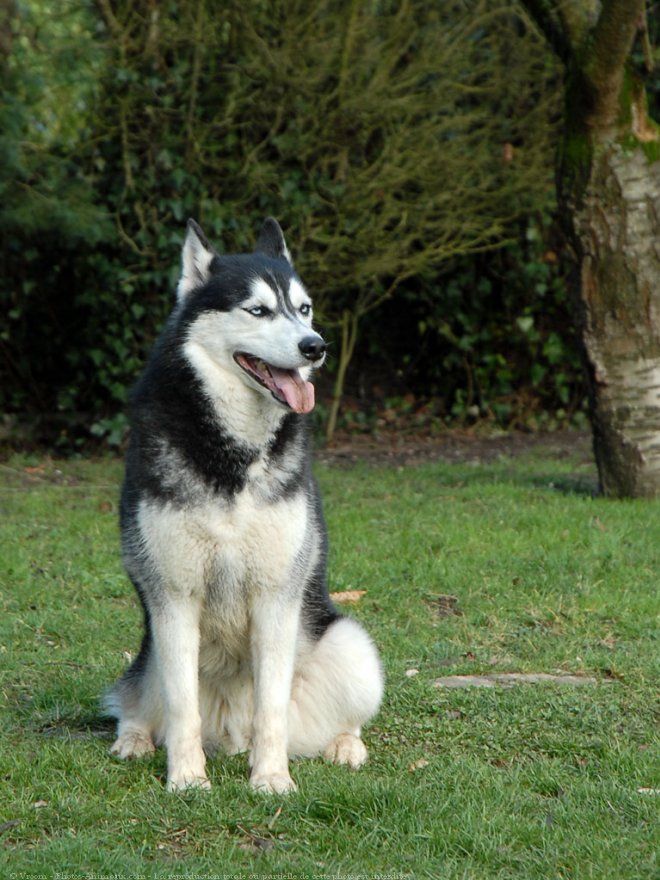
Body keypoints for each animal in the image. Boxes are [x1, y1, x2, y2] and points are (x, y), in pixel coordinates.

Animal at [105, 218, 384, 792]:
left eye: (304, 308)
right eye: (257, 311)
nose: (316, 347)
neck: (234, 453)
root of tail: (230, 735)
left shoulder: (276, 597)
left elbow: (270, 708)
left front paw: (271, 779)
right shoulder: (173, 597)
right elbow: (182, 707)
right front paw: (187, 780)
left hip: (352, 647)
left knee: (338, 719)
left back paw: (344, 746)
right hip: (147, 657)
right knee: (133, 704)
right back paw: (134, 740)